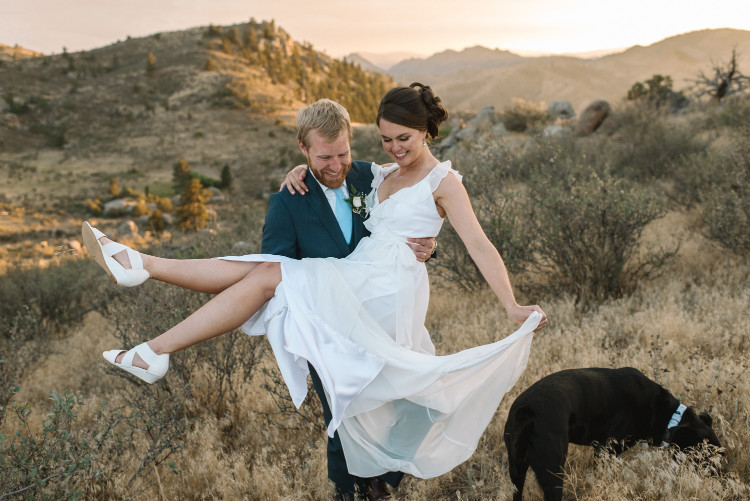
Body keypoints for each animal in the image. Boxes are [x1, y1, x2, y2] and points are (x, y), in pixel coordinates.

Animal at [506, 366, 724, 498]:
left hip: (516, 467)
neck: (670, 416)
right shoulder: (605, 450)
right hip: (552, 469)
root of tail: (528, 410)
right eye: (706, 456)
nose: (721, 480)